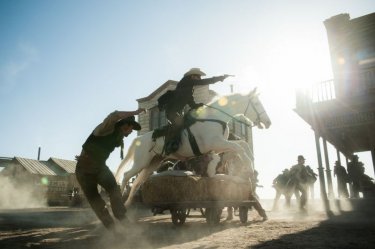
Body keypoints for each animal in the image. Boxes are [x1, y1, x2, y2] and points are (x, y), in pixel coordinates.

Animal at [114, 88, 270, 207]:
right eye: (257, 103)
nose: (268, 122)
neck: (216, 118)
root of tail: (139, 139)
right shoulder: (217, 143)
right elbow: (239, 148)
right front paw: (249, 168)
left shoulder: (220, 145)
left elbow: (241, 146)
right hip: (142, 162)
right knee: (126, 176)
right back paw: (119, 203)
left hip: (153, 163)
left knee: (137, 182)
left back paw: (127, 204)